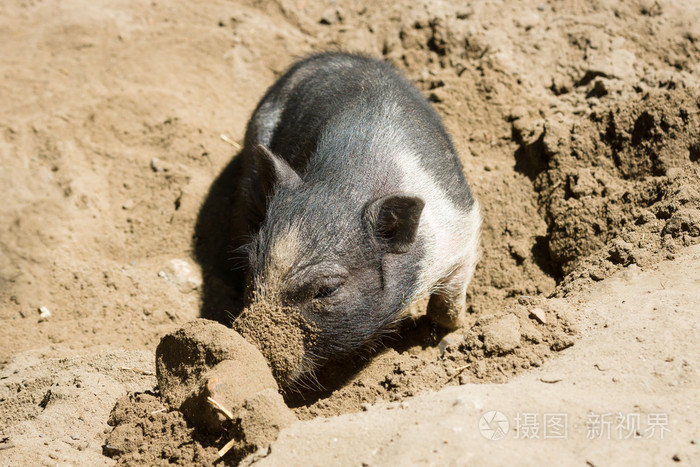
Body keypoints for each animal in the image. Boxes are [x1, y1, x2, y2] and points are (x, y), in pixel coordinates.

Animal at [230, 52, 482, 388]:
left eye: (327, 290)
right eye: (251, 267)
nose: (248, 350)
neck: (345, 185)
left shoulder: (461, 227)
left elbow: (449, 303)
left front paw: (445, 336)